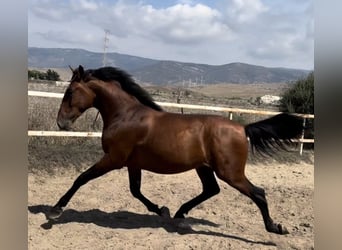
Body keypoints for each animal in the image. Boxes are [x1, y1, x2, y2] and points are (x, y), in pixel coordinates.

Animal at [47, 64, 302, 234]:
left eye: (70, 92)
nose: (61, 123)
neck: (126, 115)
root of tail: (243, 127)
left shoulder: (114, 159)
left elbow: (81, 178)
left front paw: (55, 210)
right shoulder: (132, 163)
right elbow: (135, 191)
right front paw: (162, 210)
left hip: (230, 172)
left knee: (258, 193)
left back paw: (275, 227)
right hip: (204, 168)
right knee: (211, 190)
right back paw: (179, 214)